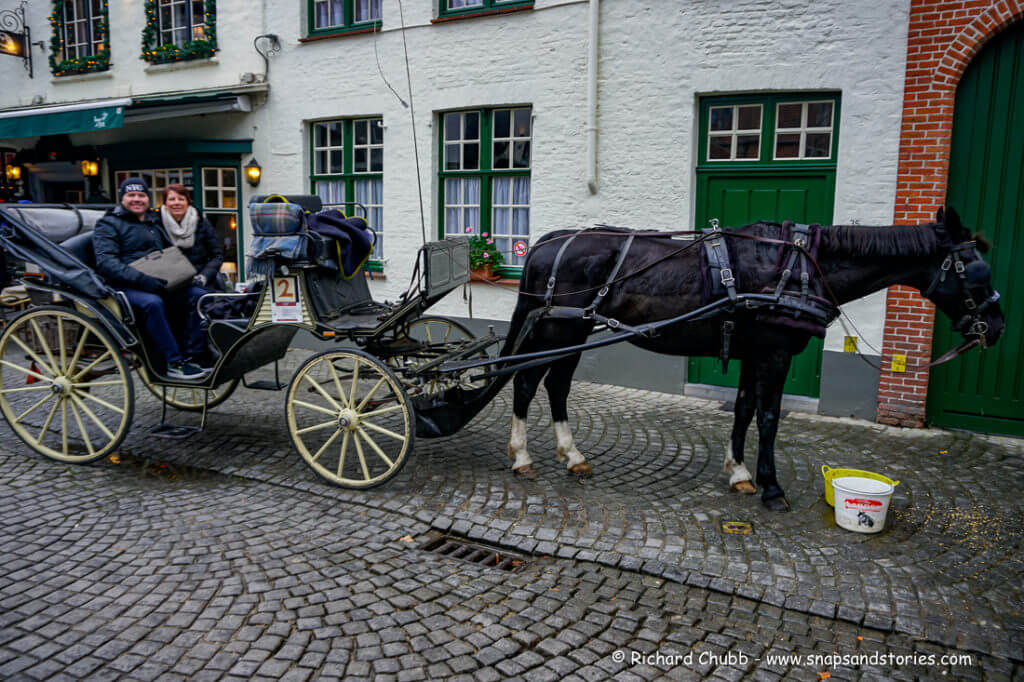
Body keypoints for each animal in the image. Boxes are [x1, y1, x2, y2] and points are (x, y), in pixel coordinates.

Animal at [499, 206, 1003, 509]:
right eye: (977, 271)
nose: (996, 327)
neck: (799, 269)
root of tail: (548, 242)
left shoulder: (751, 353)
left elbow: (743, 409)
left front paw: (738, 471)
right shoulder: (774, 353)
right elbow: (769, 417)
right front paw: (771, 487)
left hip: (574, 332)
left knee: (556, 385)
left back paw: (572, 456)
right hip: (560, 329)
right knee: (525, 382)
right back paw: (522, 457)